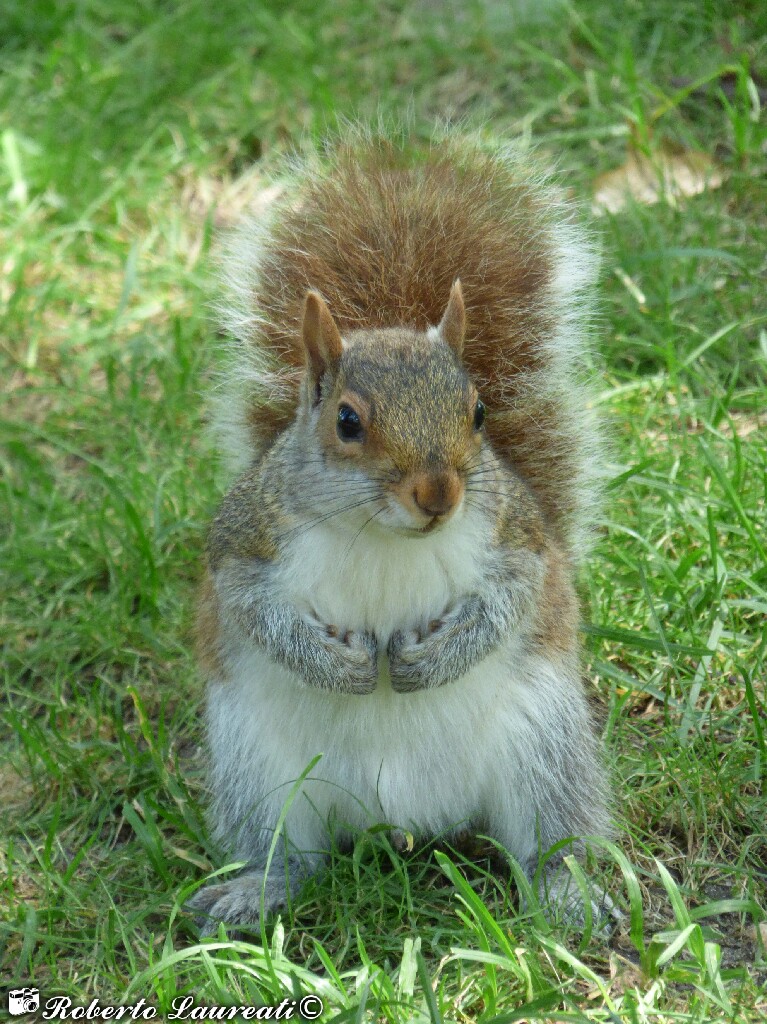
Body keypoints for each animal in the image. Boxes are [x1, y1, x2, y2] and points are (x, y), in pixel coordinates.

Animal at [188, 125, 614, 933]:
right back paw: (255, 889)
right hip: (256, 769)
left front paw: (431, 659)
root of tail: (403, 819)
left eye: (477, 412)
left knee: (552, 833)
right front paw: (339, 666)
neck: (380, 534)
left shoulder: (515, 537)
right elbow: (251, 609)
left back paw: (567, 893)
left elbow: (515, 594)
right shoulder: (247, 543)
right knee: (287, 851)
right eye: (347, 421)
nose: (438, 494)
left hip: (543, 746)